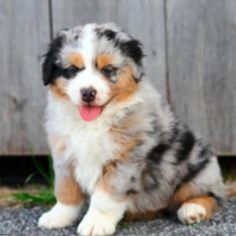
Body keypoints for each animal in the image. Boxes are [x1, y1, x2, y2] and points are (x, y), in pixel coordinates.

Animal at [37, 22, 224, 236]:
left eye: (108, 70)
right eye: (72, 70)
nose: (88, 93)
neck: (92, 124)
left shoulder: (124, 160)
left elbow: (104, 197)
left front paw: (95, 223)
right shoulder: (64, 157)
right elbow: (66, 191)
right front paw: (57, 216)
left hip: (198, 170)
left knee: (210, 196)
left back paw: (192, 210)